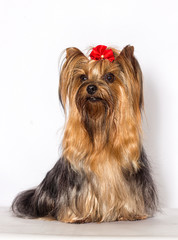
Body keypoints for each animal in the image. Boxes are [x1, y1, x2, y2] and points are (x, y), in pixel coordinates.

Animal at [11, 44, 158, 223]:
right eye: (83, 78)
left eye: (110, 77)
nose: (91, 87)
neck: (100, 127)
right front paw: (77, 216)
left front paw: (129, 213)